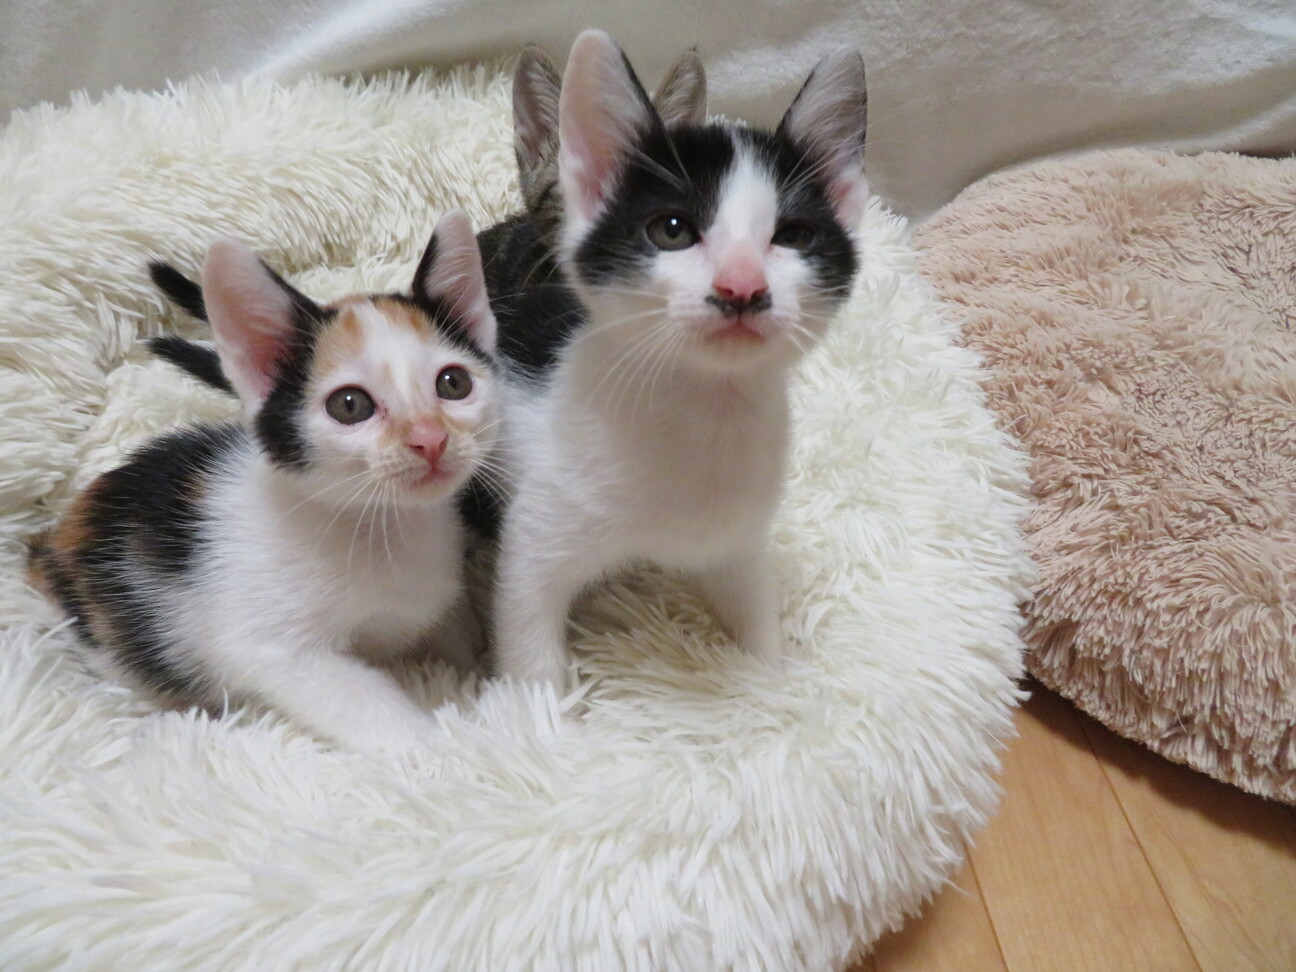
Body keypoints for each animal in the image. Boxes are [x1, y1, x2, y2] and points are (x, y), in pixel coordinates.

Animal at [27, 209, 501, 755]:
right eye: (350, 405)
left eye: (454, 383)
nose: (430, 439)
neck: (379, 523)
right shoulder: (272, 648)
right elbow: (364, 703)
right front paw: (444, 750)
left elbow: (458, 639)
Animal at [488, 31, 868, 692]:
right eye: (671, 230)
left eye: (794, 235)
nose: (742, 287)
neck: (703, 410)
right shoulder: (534, 536)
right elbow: (529, 629)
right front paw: (533, 717)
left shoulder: (737, 538)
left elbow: (754, 612)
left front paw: (778, 691)